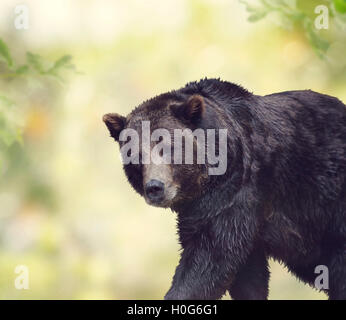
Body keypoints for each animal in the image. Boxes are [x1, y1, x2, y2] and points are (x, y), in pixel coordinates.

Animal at [102, 78, 346, 300]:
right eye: (136, 155)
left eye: (168, 147)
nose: (155, 187)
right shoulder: (200, 213)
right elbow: (247, 276)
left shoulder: (236, 192)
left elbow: (211, 259)